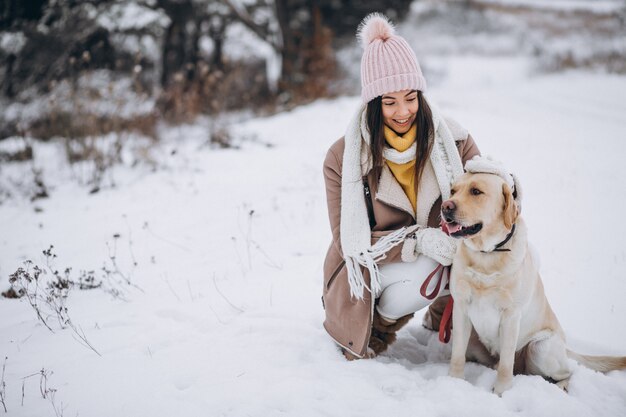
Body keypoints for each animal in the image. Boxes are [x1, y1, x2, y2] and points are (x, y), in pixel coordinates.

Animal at [438, 171, 624, 394]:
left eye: (476, 191)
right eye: (453, 191)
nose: (445, 206)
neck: (486, 256)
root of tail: (565, 347)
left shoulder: (511, 316)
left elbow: (506, 363)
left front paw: (502, 392)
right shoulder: (461, 309)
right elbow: (457, 354)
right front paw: (454, 382)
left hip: (540, 348)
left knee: (567, 372)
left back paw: (561, 386)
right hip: (475, 340)